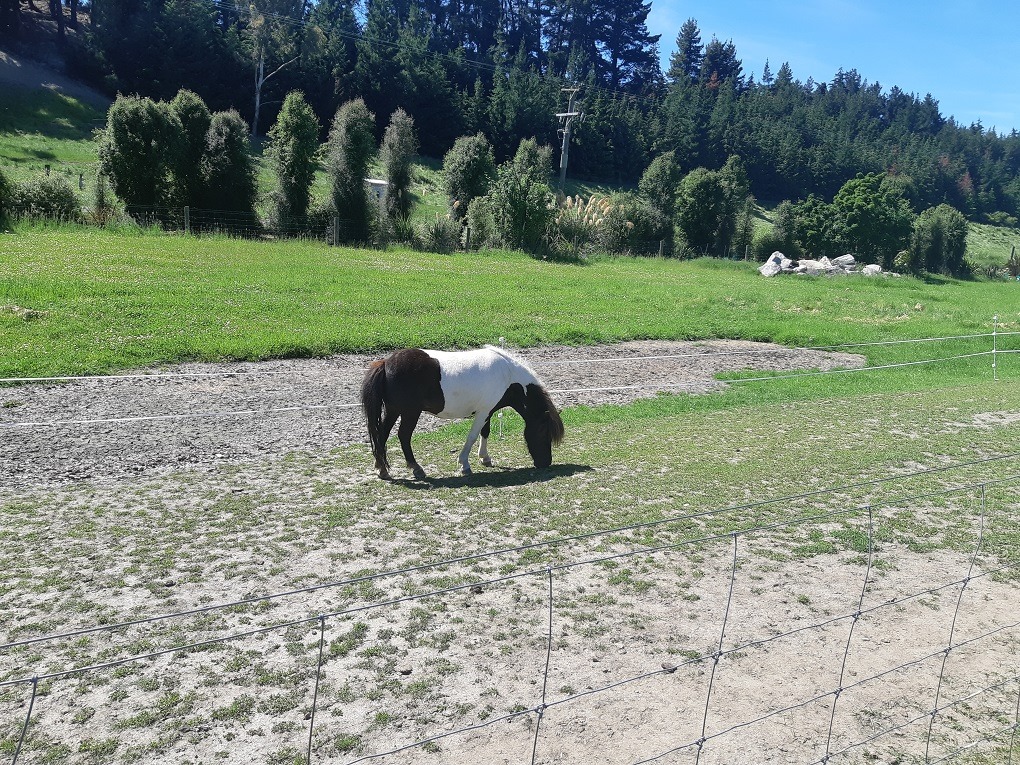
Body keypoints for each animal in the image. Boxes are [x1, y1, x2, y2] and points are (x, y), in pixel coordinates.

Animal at [360, 346, 564, 480]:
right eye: (544, 433)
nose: (546, 462)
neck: (508, 375)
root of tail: (385, 363)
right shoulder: (483, 412)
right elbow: (472, 436)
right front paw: (464, 465)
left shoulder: (487, 411)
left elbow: (485, 432)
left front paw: (485, 458)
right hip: (410, 413)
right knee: (403, 436)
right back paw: (416, 468)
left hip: (394, 410)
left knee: (382, 434)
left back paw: (381, 468)